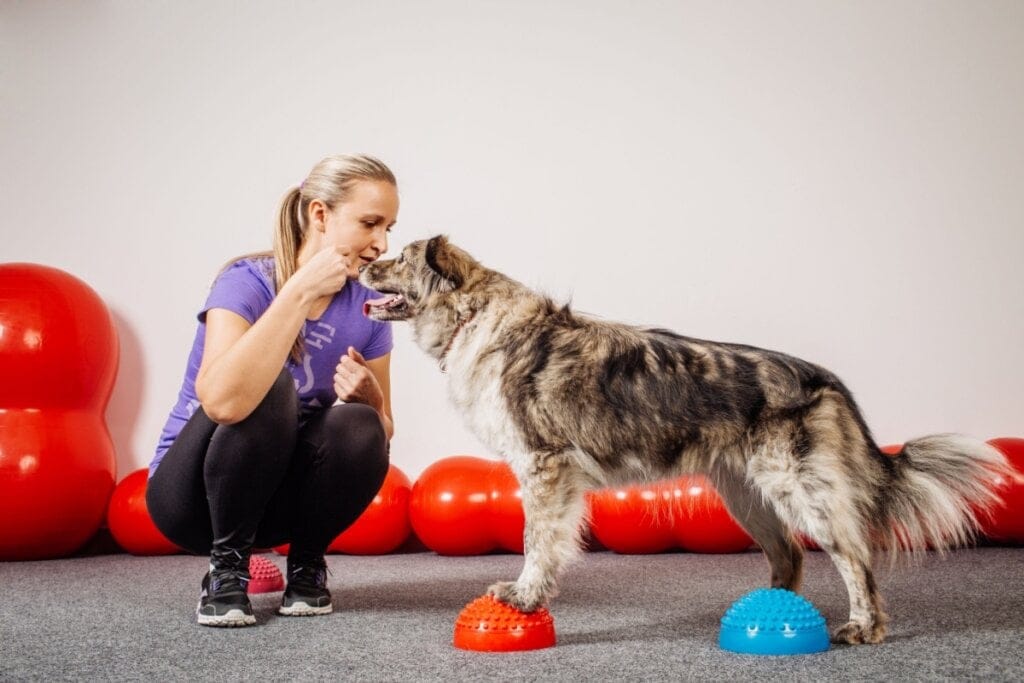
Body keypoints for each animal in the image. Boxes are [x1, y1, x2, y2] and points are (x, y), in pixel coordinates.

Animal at [358, 236, 1007, 647]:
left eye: (399, 258)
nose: (364, 265)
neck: (476, 316)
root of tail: (824, 379)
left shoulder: (544, 467)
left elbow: (537, 543)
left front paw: (523, 597)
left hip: (799, 489)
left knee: (854, 557)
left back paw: (864, 627)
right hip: (746, 494)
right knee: (791, 555)